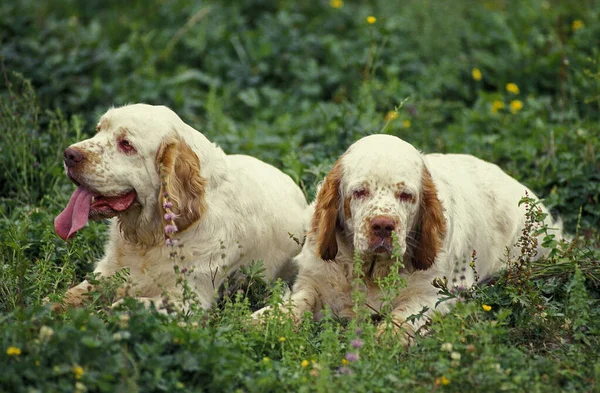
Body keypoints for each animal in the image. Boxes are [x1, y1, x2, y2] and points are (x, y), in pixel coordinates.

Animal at [52, 104, 310, 312]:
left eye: (126, 144)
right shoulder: (105, 274)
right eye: (98, 129)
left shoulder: (188, 299)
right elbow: (66, 296)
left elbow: (126, 304)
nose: (69, 154)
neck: (150, 238)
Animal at [258, 134, 564, 340]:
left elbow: (404, 317)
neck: (372, 272)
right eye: (360, 192)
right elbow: (296, 303)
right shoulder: (313, 282)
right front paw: (261, 320)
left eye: (406, 195)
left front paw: (384, 340)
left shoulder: (434, 295)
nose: (383, 226)